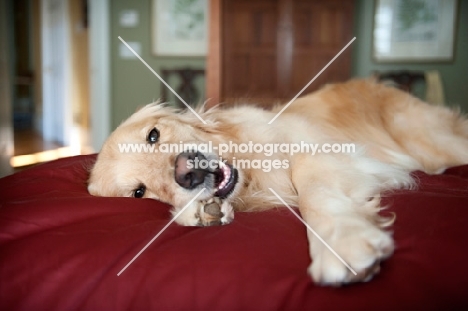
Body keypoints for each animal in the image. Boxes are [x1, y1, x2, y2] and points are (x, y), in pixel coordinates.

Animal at [88, 79, 468, 286]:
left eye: (153, 135)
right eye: (139, 192)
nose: (188, 171)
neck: (249, 171)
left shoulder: (325, 154)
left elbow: (312, 190)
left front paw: (342, 241)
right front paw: (201, 211)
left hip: (431, 142)